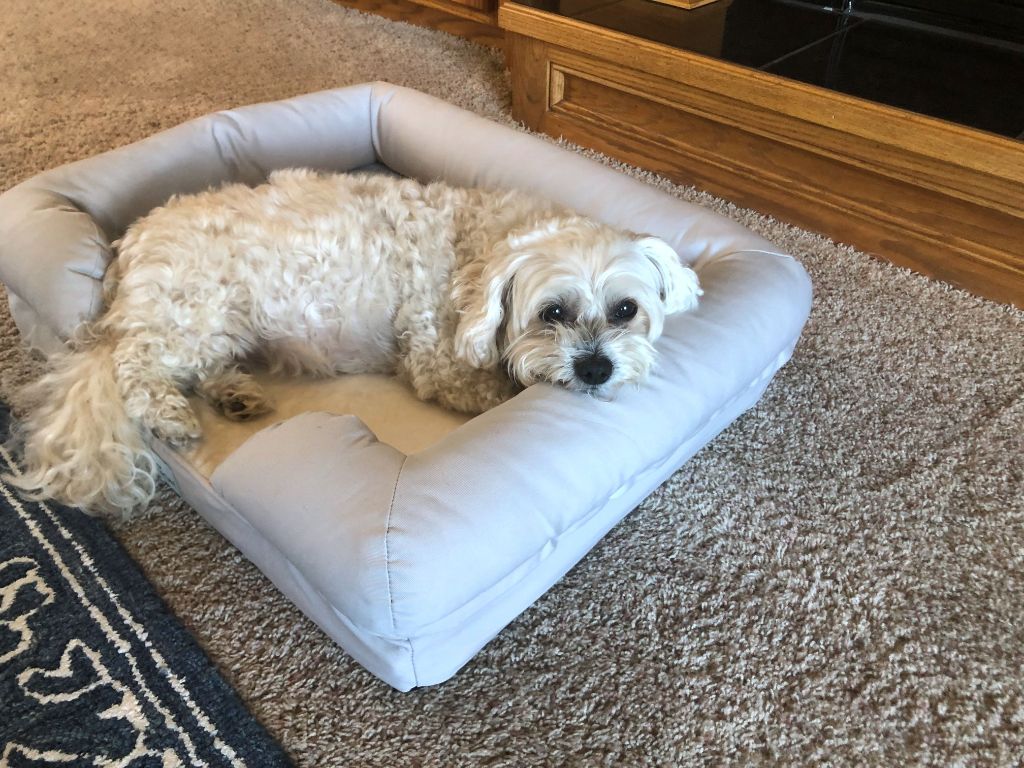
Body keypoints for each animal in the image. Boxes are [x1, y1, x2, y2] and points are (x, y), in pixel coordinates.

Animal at [8, 167, 700, 518]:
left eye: (626, 310)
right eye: (551, 313)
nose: (595, 368)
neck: (480, 253)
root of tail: (130, 245)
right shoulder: (435, 360)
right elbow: (490, 387)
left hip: (222, 325)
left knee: (203, 367)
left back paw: (233, 395)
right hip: (194, 308)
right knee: (136, 366)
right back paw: (171, 415)